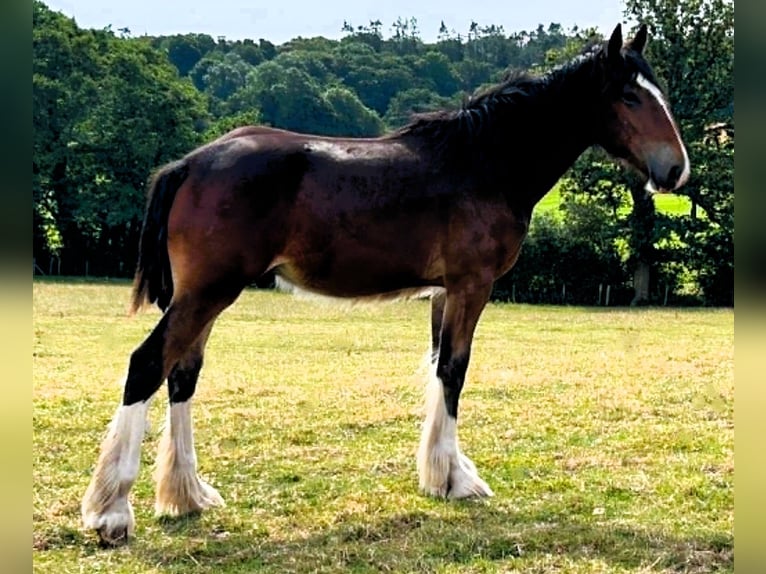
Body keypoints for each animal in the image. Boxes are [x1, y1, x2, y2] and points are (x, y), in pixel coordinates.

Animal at [81, 24, 689, 546]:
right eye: (629, 96)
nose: (676, 170)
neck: (484, 161)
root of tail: (188, 164)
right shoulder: (471, 287)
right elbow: (455, 371)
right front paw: (455, 481)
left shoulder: (443, 293)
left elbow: (438, 367)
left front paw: (443, 473)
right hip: (207, 293)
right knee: (146, 366)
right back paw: (112, 512)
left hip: (204, 299)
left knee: (181, 375)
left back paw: (186, 495)